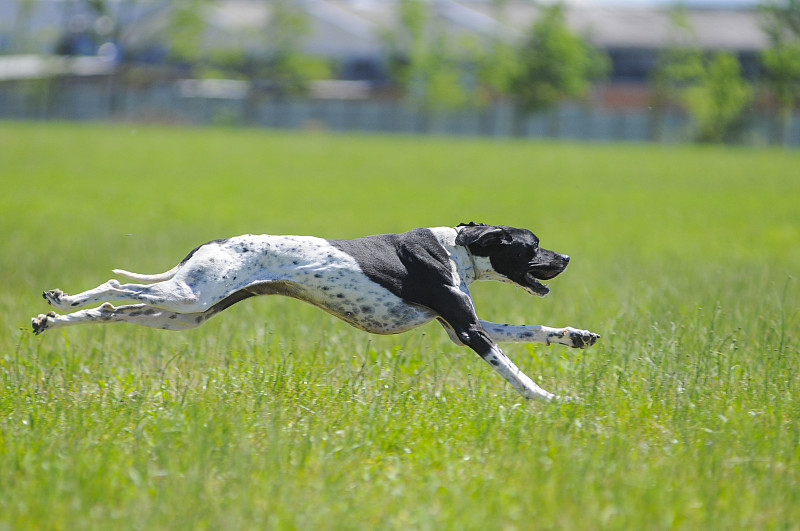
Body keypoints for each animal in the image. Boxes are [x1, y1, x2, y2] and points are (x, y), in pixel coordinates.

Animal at [34, 222, 600, 402]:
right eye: (532, 246)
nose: (569, 259)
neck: (456, 246)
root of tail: (209, 245)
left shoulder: (461, 325)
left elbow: (533, 329)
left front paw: (575, 335)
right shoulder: (467, 331)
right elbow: (514, 372)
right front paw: (550, 399)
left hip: (185, 313)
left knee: (113, 310)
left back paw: (53, 319)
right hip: (187, 298)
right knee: (113, 288)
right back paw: (61, 301)